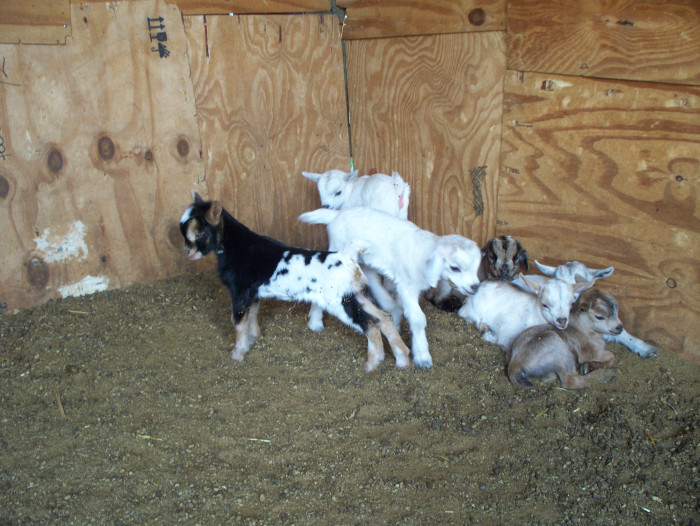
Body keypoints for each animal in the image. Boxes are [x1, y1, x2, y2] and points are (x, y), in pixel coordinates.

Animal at [179, 193, 410, 372]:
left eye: (200, 232)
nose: (187, 253)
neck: (239, 247)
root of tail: (348, 255)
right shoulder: (253, 293)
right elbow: (253, 314)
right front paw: (254, 337)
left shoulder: (239, 292)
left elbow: (237, 321)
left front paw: (238, 352)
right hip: (357, 294)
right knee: (384, 319)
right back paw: (402, 357)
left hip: (340, 302)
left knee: (370, 325)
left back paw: (372, 364)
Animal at [299, 206, 482, 369]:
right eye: (455, 268)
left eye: (477, 266)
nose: (475, 287)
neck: (424, 254)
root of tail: (336, 215)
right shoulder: (407, 286)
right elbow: (418, 319)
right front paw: (422, 356)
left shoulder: (402, 283)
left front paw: (396, 322)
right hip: (337, 248)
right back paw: (315, 322)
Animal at [458, 274, 594, 351]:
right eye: (545, 304)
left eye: (571, 304)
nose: (562, 320)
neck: (533, 313)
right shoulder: (508, 332)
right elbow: (501, 342)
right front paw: (489, 335)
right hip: (471, 311)